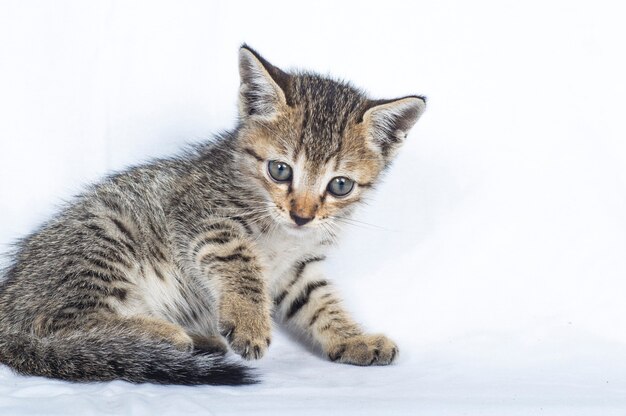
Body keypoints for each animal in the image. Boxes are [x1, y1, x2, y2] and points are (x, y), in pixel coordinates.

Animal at [0, 44, 424, 384]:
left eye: (339, 185)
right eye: (280, 169)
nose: (302, 215)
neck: (281, 234)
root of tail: (7, 311)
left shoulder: (297, 268)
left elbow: (319, 301)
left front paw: (353, 338)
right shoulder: (202, 216)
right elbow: (240, 261)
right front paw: (250, 322)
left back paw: (196, 340)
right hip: (104, 237)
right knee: (56, 323)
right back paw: (169, 335)